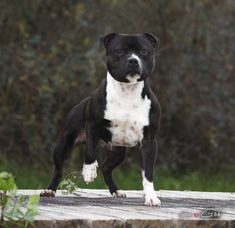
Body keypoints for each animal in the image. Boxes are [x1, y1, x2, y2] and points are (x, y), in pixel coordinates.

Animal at [40, 33, 162, 207]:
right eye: (119, 51)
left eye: (143, 51)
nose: (133, 61)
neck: (127, 92)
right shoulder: (92, 125)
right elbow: (90, 151)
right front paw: (89, 171)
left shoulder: (149, 142)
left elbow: (148, 173)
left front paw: (151, 196)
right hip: (63, 144)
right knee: (58, 169)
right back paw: (49, 190)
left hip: (119, 152)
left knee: (106, 168)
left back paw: (116, 191)